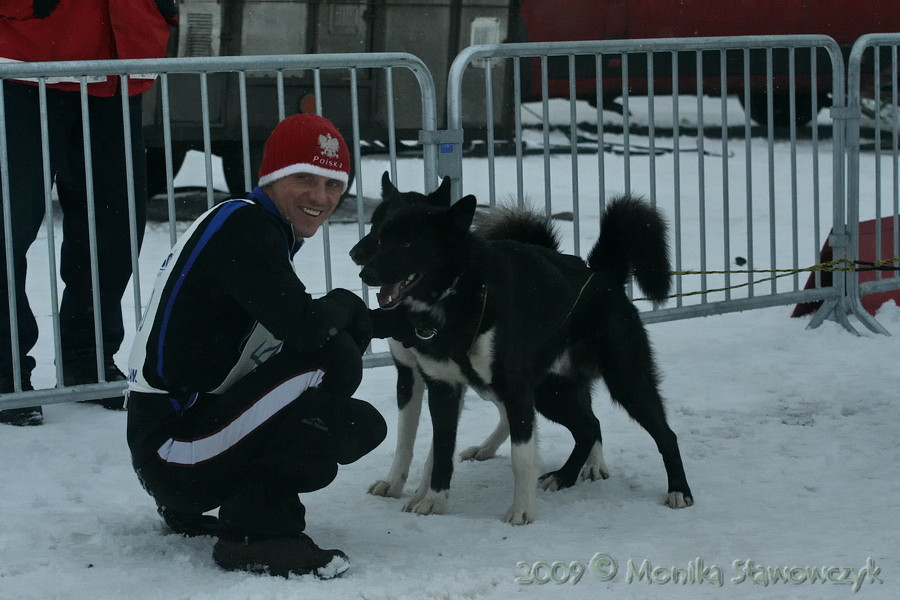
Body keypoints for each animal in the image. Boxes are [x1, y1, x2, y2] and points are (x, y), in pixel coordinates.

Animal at [348, 175, 692, 524]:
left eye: (408, 243)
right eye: (379, 234)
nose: (363, 270)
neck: (457, 297)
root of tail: (602, 275)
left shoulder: (513, 389)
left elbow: (521, 456)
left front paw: (522, 510)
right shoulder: (439, 385)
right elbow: (438, 447)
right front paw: (433, 499)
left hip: (625, 382)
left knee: (664, 434)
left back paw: (677, 489)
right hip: (550, 392)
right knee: (589, 426)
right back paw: (564, 475)